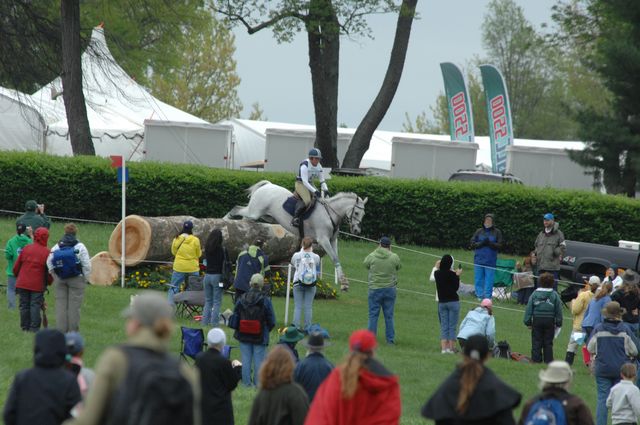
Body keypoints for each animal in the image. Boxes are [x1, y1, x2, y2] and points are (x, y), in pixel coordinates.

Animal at [225, 179, 368, 288]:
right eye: (356, 213)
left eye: (363, 214)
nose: (357, 231)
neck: (330, 214)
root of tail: (267, 185)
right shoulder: (323, 240)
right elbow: (334, 257)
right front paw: (344, 282)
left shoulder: (332, 240)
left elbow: (336, 258)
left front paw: (343, 282)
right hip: (254, 212)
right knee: (236, 209)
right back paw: (224, 221)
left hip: (263, 216)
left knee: (244, 221)